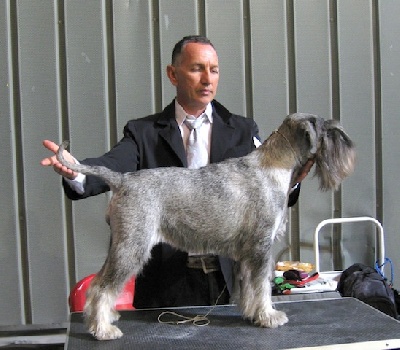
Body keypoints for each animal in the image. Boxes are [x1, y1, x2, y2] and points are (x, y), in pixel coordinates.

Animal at [57, 112, 356, 340]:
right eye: (328, 130)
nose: (350, 145)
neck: (273, 164)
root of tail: (122, 179)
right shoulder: (261, 248)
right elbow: (261, 285)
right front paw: (269, 316)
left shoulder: (246, 255)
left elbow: (249, 287)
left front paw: (252, 313)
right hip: (132, 247)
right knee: (102, 287)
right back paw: (102, 329)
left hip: (121, 245)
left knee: (99, 282)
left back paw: (105, 318)